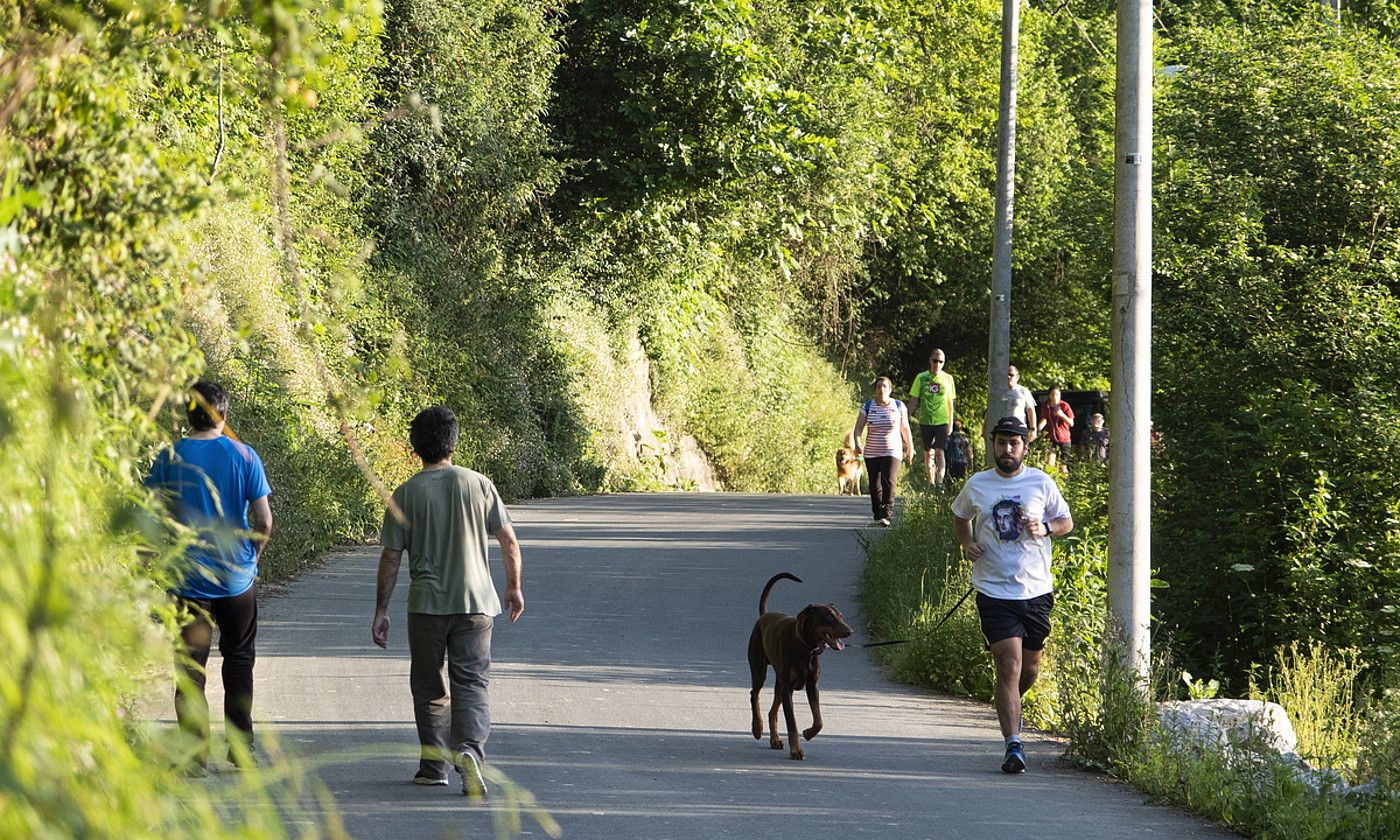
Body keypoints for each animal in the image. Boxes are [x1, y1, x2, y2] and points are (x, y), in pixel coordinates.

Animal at [744, 571, 851, 761]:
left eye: (841, 616)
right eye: (829, 617)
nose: (849, 631)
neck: (806, 648)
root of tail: (764, 616)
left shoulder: (812, 685)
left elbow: (819, 721)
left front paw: (808, 733)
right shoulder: (789, 689)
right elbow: (792, 723)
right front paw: (796, 751)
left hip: (780, 683)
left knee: (772, 711)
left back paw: (775, 740)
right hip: (759, 669)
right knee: (754, 694)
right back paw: (757, 728)